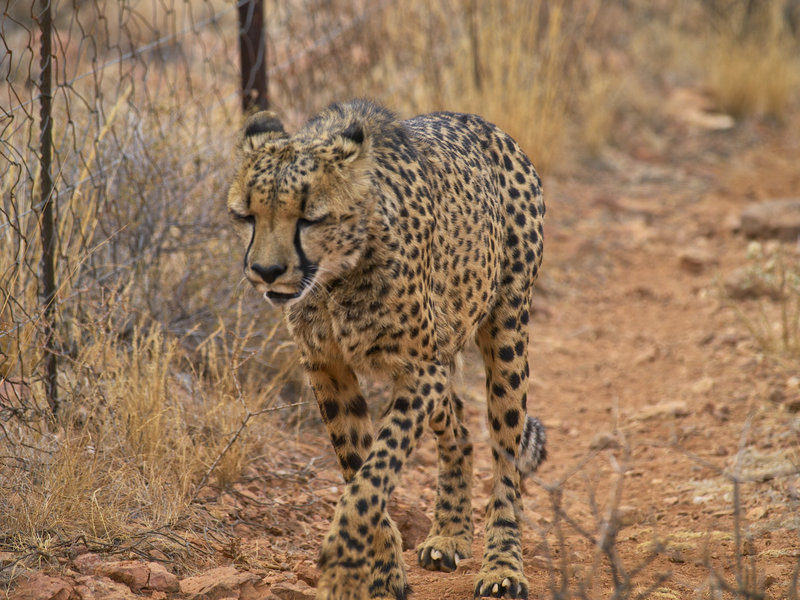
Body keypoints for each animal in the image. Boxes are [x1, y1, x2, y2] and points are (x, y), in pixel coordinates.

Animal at [226, 99, 547, 600]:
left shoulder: (417, 370)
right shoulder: (328, 368)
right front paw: (379, 574)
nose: (266, 271)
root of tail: (480, 122)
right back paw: (449, 534)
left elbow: (375, 472)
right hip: (445, 349)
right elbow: (357, 465)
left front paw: (343, 559)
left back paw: (502, 566)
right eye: (247, 216)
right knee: (459, 433)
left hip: (507, 331)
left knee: (507, 460)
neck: (337, 276)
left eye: (309, 218)